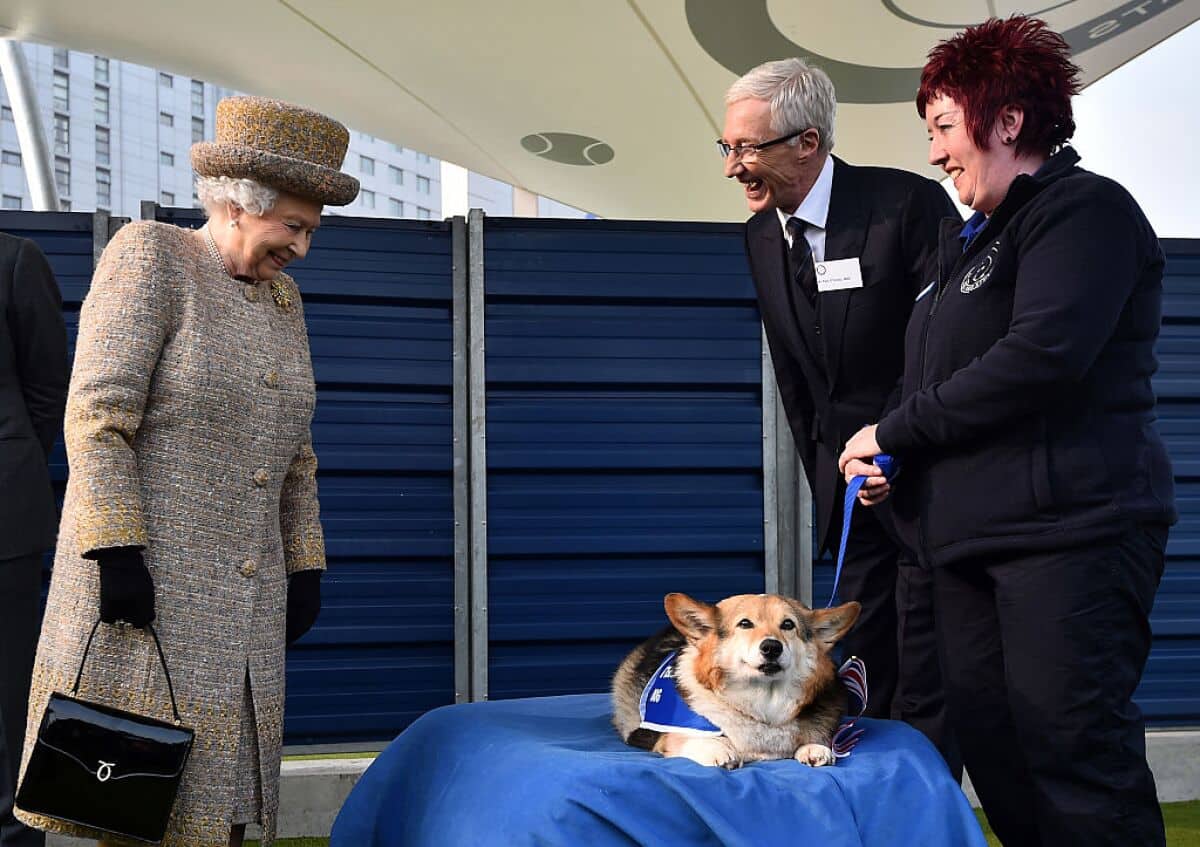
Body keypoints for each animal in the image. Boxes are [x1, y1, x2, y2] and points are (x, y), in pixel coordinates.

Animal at [614, 595, 859, 767]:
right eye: (745, 624)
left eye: (788, 624)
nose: (772, 647)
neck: (763, 702)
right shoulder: (663, 734)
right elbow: (686, 737)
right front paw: (717, 749)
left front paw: (815, 748)